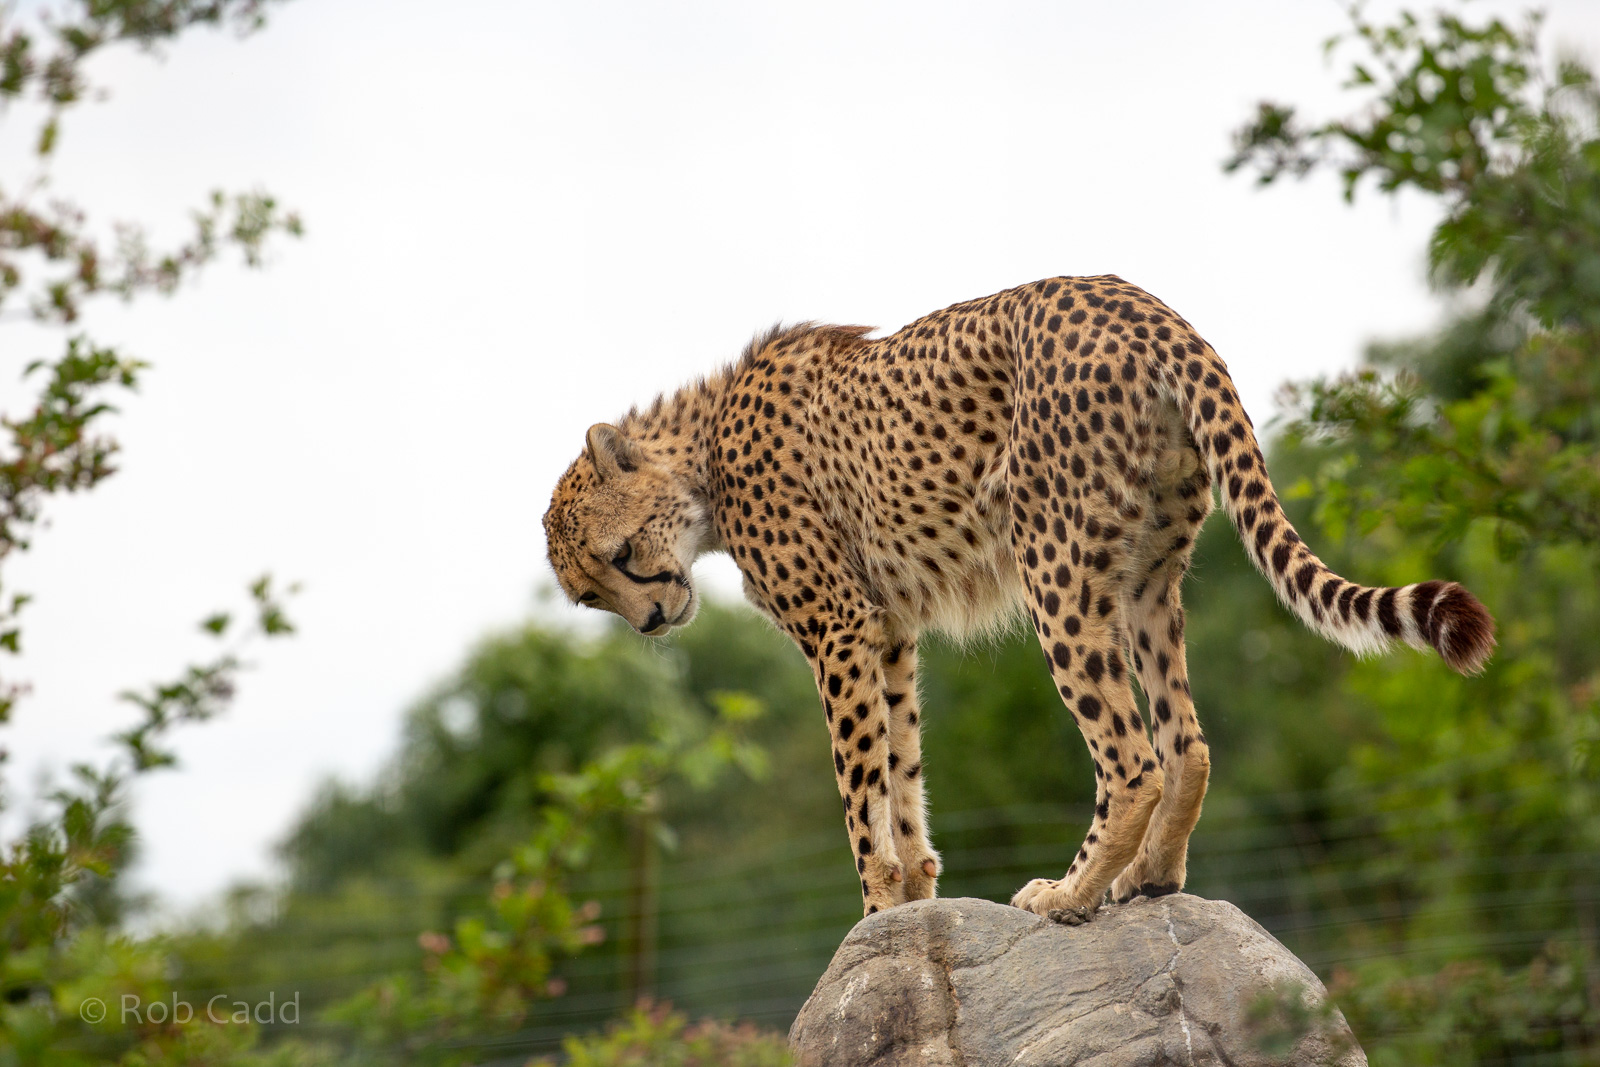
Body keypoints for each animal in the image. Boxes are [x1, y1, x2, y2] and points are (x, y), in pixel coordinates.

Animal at [542, 275, 1496, 922]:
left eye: (620, 557)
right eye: (590, 595)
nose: (653, 618)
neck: (700, 452)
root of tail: (1146, 305)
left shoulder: (839, 628)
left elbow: (858, 785)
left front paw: (875, 910)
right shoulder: (890, 629)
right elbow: (902, 766)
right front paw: (917, 893)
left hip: (1055, 569)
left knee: (1131, 756)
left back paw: (1067, 891)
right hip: (1145, 576)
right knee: (1185, 740)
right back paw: (1150, 876)